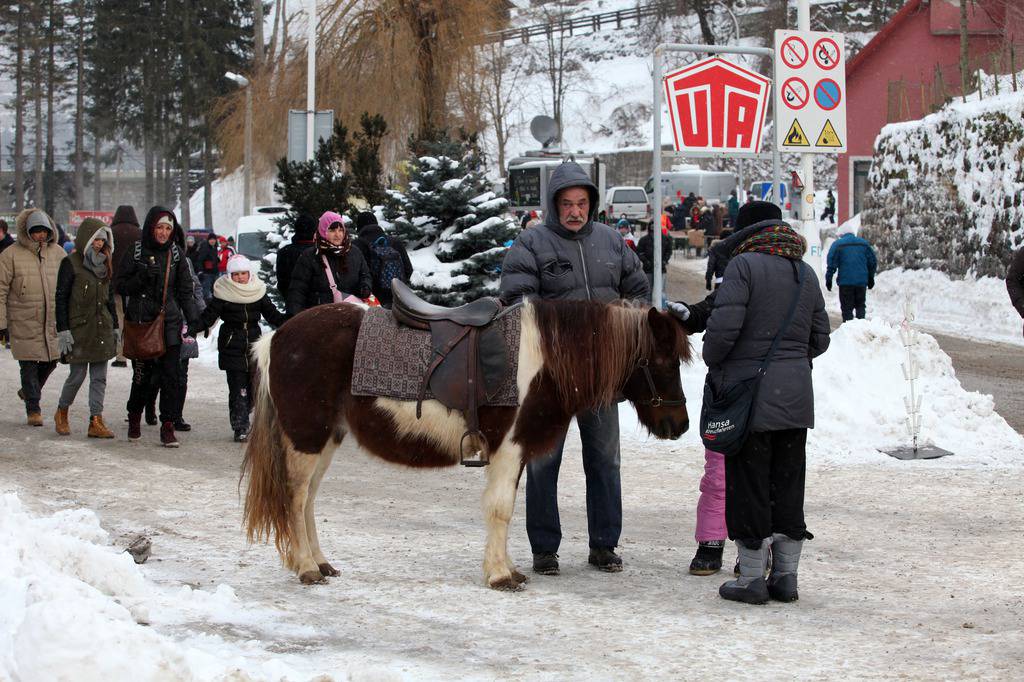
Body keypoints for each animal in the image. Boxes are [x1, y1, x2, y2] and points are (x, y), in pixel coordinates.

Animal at [241, 299, 688, 589]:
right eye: (663, 363)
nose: (680, 425)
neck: (545, 358)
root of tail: (275, 338)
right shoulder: (509, 447)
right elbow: (501, 509)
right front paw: (500, 575)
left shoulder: (514, 451)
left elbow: (505, 508)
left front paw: (508, 567)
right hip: (306, 438)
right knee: (296, 499)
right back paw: (305, 568)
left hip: (326, 439)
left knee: (308, 501)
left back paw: (320, 562)